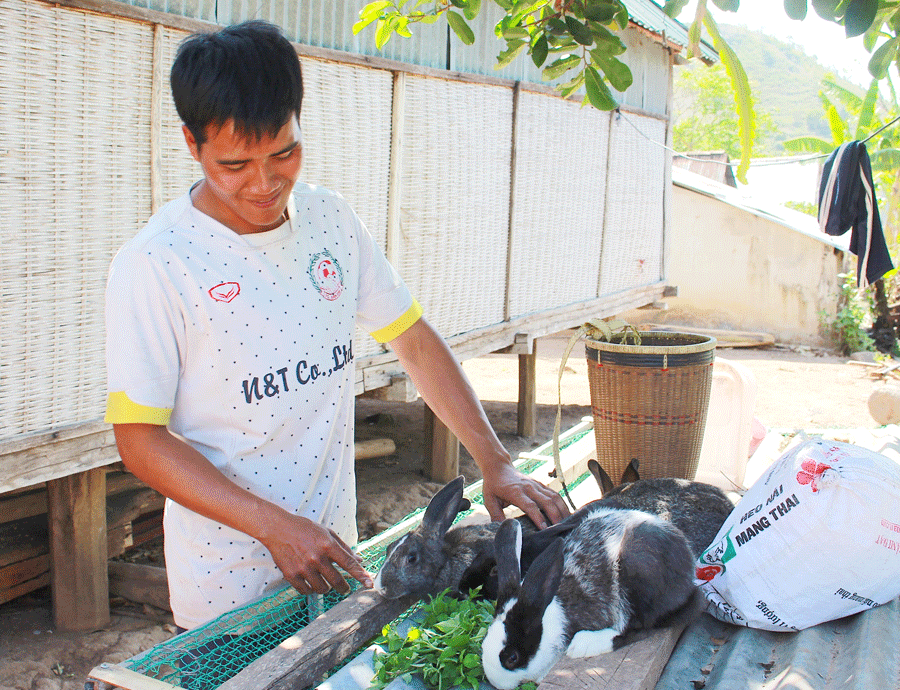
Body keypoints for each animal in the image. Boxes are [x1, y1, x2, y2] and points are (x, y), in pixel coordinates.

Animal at [478, 508, 696, 684]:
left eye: (512, 658)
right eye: (484, 643)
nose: (494, 682)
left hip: (639, 578)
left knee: (640, 627)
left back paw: (584, 644)